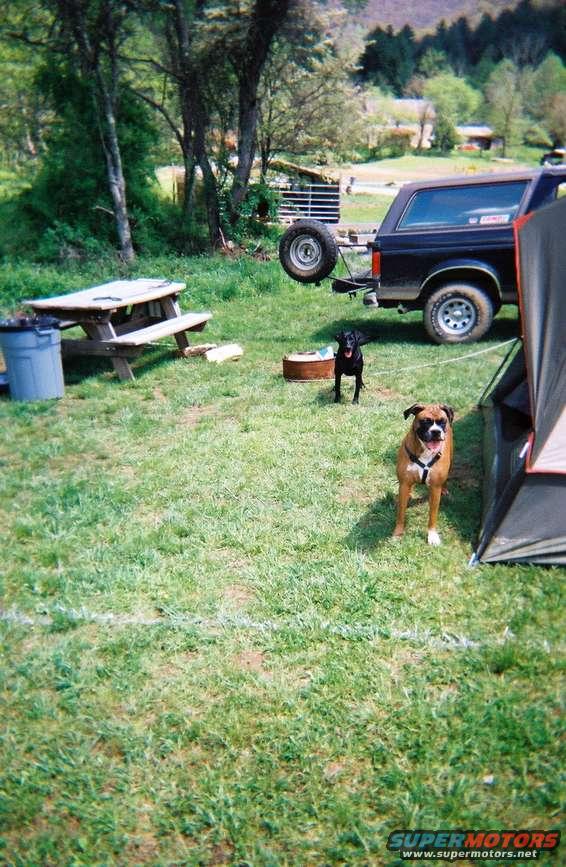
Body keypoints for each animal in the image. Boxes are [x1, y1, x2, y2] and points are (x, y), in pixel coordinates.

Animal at [394, 404, 458, 544]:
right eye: (425, 421)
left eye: (442, 421)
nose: (436, 431)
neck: (424, 451)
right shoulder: (404, 483)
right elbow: (401, 512)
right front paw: (398, 532)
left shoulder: (434, 489)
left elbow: (432, 515)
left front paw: (432, 535)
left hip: (451, 461)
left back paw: (445, 489)